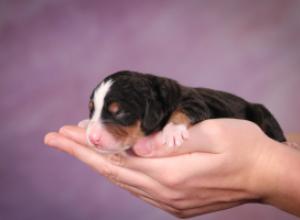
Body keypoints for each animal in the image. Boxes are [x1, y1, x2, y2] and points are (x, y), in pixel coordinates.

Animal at [79, 70, 286, 153]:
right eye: (91, 110)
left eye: (119, 112)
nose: (93, 139)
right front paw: (85, 123)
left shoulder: (197, 102)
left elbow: (182, 111)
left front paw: (172, 131)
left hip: (262, 112)